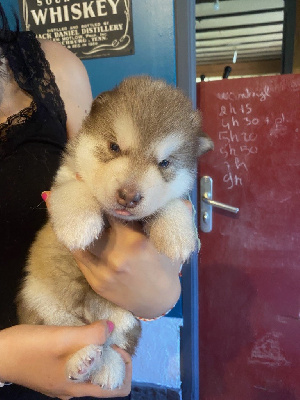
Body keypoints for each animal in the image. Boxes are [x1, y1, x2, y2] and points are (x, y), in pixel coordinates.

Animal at [17, 76, 213, 390]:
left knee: (113, 341)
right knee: (67, 332)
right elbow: (77, 189)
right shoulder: (65, 178)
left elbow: (174, 203)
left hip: (125, 320)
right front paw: (77, 224)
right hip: (41, 302)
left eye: (164, 163)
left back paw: (108, 366)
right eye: (114, 146)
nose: (129, 196)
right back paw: (82, 359)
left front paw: (179, 234)